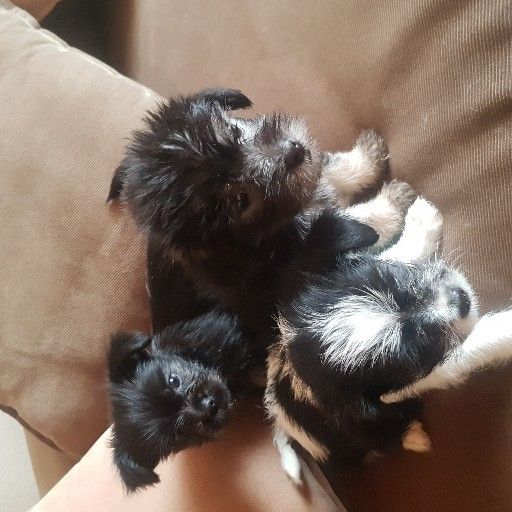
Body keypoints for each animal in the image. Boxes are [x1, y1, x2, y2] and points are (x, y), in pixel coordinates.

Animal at [265, 195, 480, 485]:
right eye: (413, 357)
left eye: (395, 279)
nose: (462, 300)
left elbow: (392, 251)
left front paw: (422, 221)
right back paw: (413, 436)